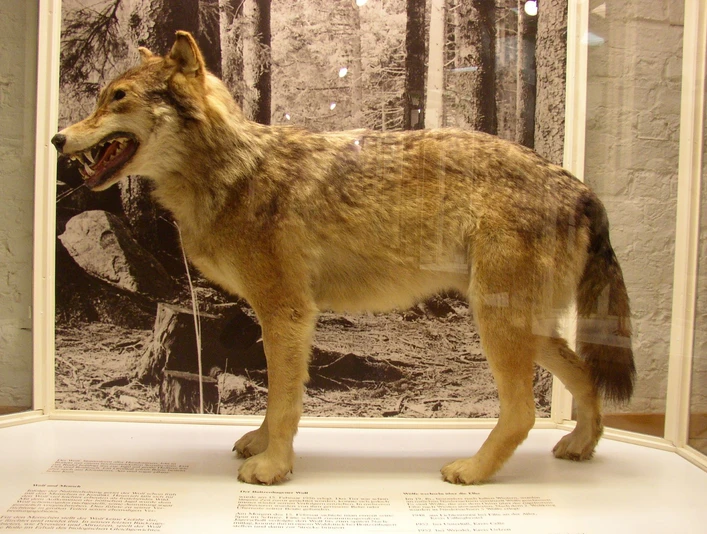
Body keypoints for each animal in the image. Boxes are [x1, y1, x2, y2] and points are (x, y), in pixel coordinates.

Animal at [52, 31, 635, 485]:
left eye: (118, 98)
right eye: (101, 97)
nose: (57, 137)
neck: (234, 173)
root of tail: (581, 187)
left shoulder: (288, 311)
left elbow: (285, 402)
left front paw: (274, 468)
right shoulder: (277, 315)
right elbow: (274, 397)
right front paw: (260, 444)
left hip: (497, 323)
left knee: (522, 412)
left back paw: (471, 471)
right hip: (529, 328)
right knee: (584, 375)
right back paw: (581, 445)